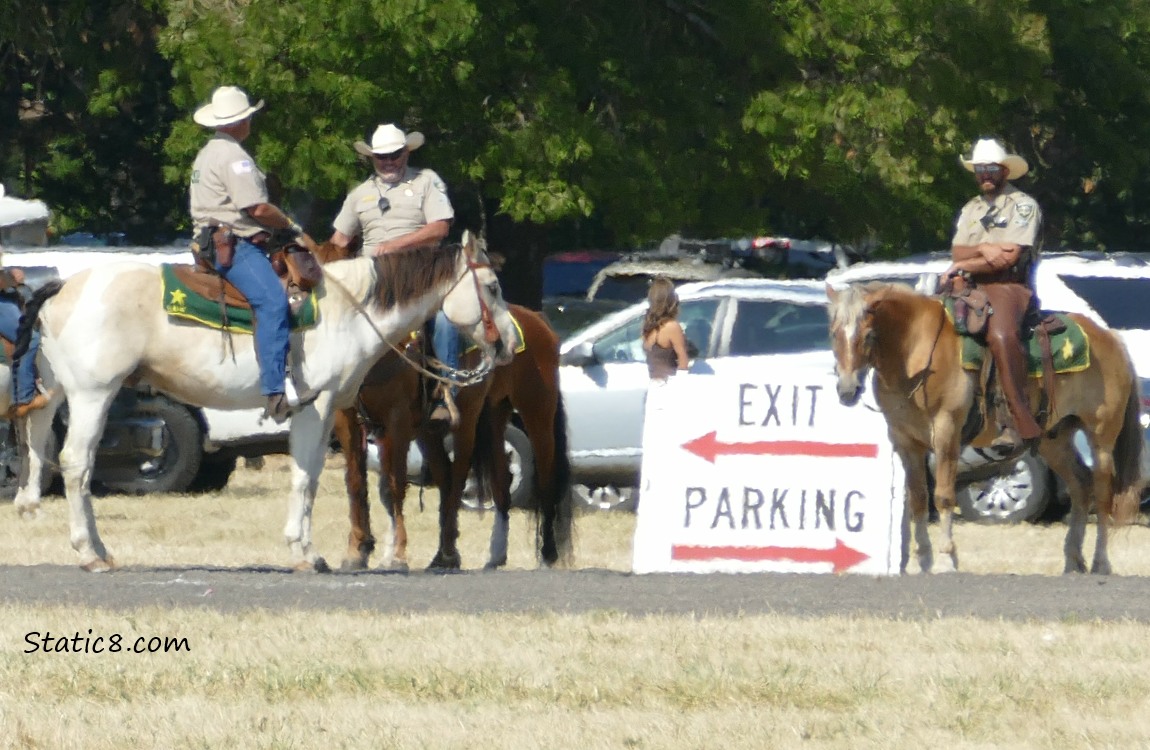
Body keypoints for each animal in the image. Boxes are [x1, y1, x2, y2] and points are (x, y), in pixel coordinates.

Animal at [12, 236, 517, 570]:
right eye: (492, 287)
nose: (511, 343)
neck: (350, 310)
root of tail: (61, 287)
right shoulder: (317, 405)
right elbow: (307, 477)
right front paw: (306, 552)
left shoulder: (334, 414)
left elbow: (318, 476)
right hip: (93, 393)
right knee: (77, 464)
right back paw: (90, 552)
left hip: (59, 392)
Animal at [828, 280, 1140, 575]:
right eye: (833, 334)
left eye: (869, 335)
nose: (847, 390)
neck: (917, 351)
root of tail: (1110, 337)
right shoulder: (905, 441)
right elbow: (917, 499)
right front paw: (925, 560)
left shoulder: (946, 433)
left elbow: (943, 496)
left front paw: (946, 559)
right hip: (1055, 439)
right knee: (1080, 486)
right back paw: (1073, 560)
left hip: (1101, 437)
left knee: (1103, 494)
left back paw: (1101, 562)